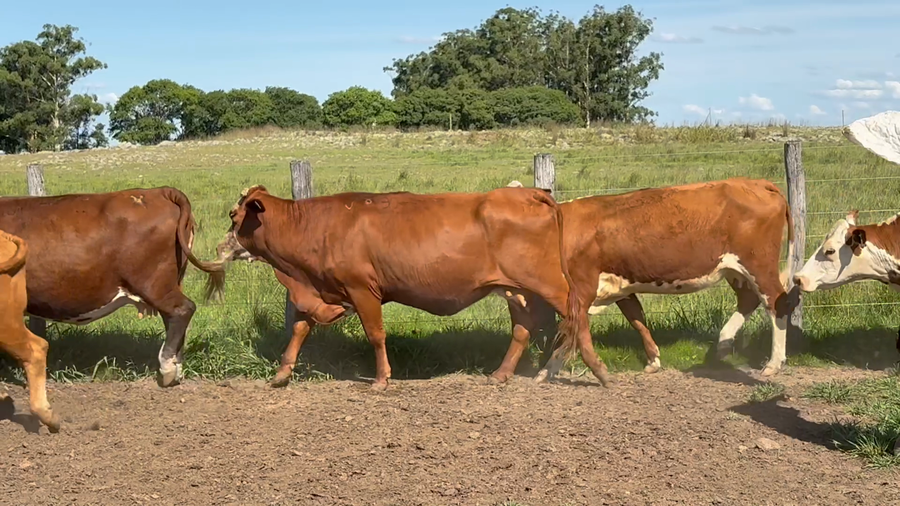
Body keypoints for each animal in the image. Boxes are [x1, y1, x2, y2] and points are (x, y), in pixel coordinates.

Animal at [213, 184, 605, 390]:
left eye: (234, 216)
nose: (219, 247)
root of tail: (528, 193)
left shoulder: (362, 290)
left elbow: (376, 334)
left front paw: (381, 379)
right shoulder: (324, 291)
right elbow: (298, 328)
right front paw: (281, 374)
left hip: (549, 283)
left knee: (577, 316)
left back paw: (598, 370)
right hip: (515, 289)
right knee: (524, 328)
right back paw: (501, 373)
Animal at [503, 178, 796, 383]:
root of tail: (757, 183)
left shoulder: (581, 291)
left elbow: (569, 334)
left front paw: (546, 372)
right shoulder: (620, 286)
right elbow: (637, 318)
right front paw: (654, 360)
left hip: (758, 265)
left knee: (776, 304)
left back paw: (773, 364)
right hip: (734, 270)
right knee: (748, 301)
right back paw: (722, 347)